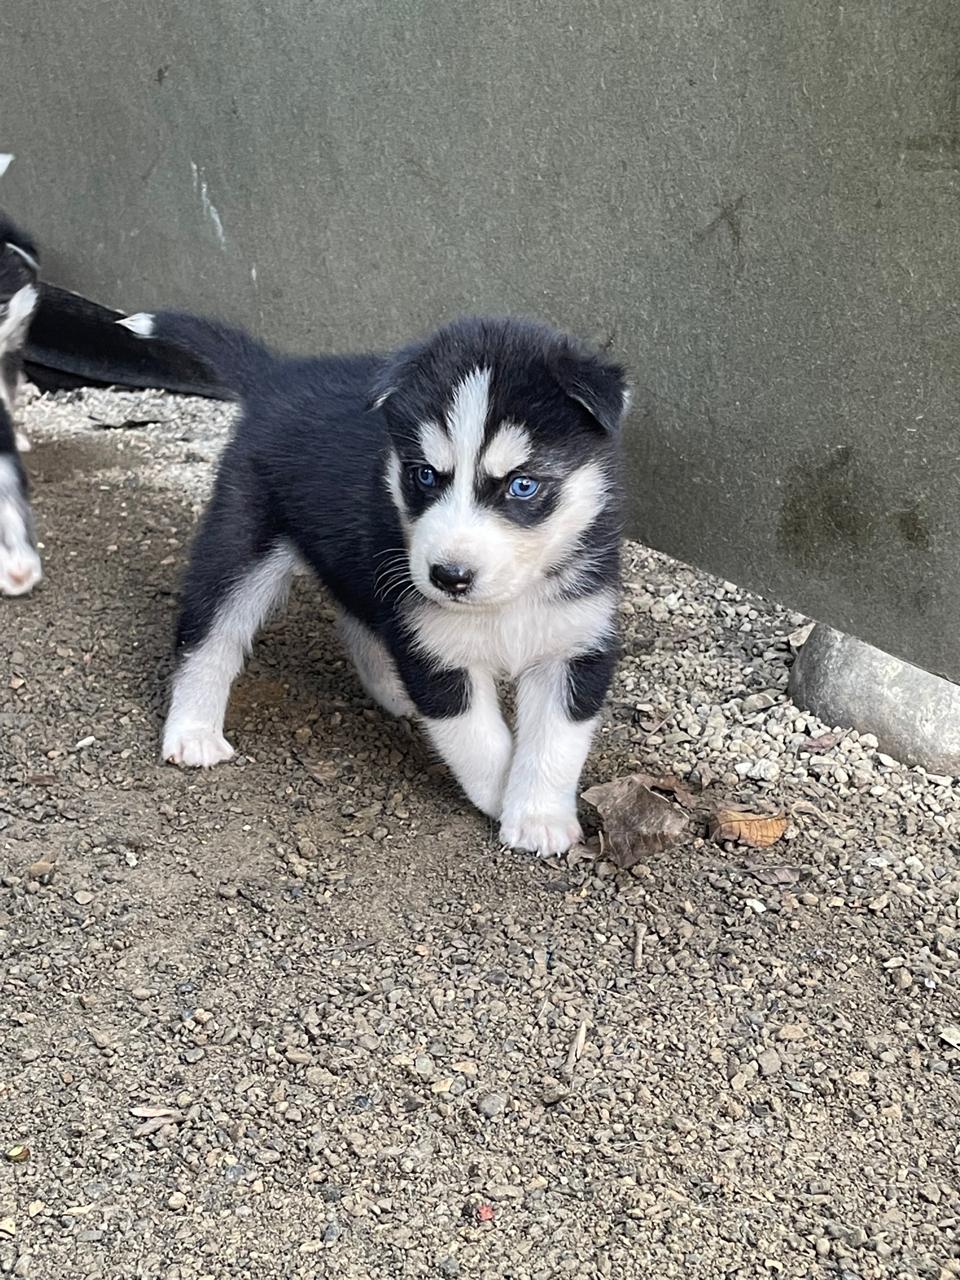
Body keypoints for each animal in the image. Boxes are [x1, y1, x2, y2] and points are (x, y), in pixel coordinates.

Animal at [118, 305, 632, 855]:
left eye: (523, 485)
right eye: (424, 474)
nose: (449, 577)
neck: (505, 602)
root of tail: (277, 375)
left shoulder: (574, 641)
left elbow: (557, 740)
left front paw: (538, 816)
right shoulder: (434, 647)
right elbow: (477, 737)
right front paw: (498, 797)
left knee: (357, 616)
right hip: (242, 537)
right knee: (209, 635)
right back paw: (193, 731)